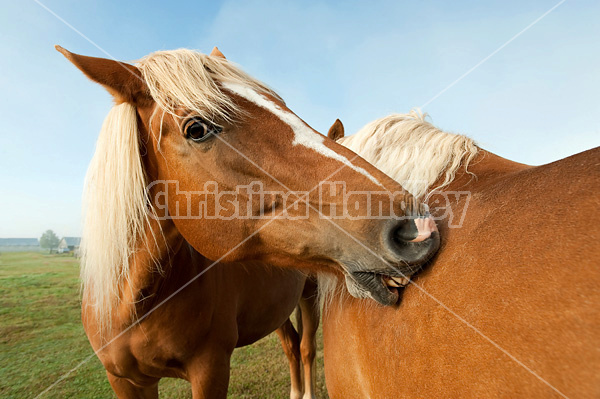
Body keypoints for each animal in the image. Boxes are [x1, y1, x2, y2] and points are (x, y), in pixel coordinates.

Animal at [58, 48, 438, 399]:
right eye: (196, 128)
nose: (415, 227)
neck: (133, 303)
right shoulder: (125, 382)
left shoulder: (210, 369)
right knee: (292, 346)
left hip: (309, 297)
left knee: (305, 348)